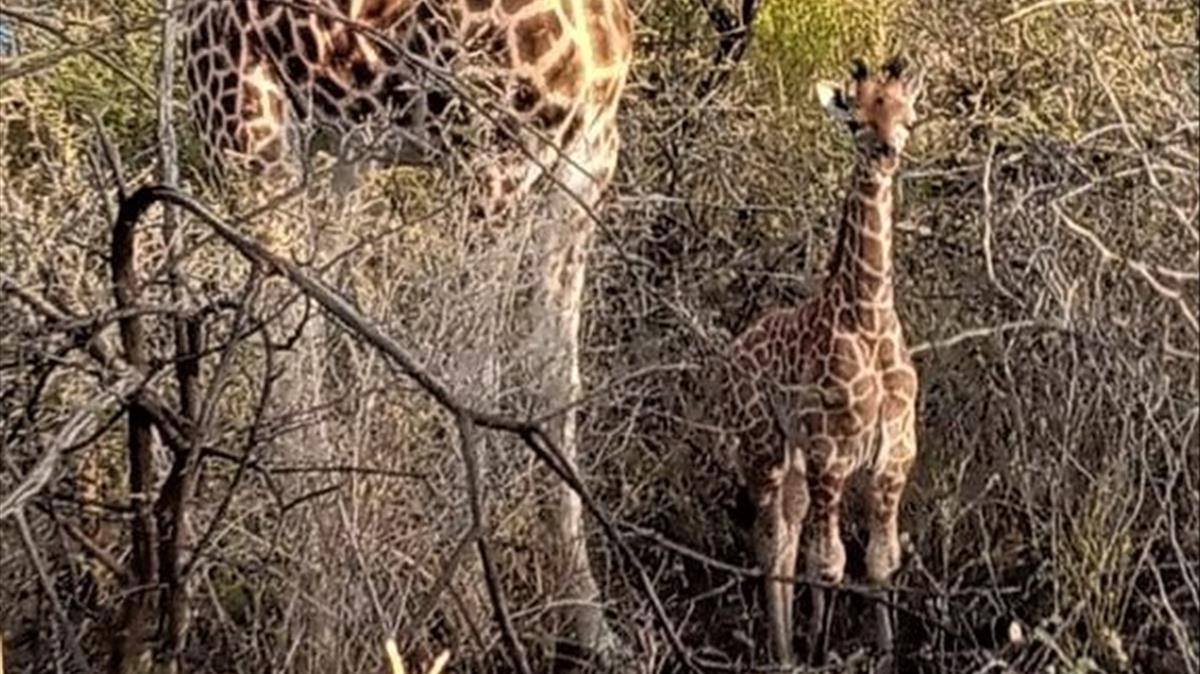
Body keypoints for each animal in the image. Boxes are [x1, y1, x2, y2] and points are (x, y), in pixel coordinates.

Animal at [182, 0, 633, 657]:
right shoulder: (490, 167)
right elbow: (471, 384)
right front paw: (475, 620)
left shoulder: (587, 162)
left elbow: (555, 385)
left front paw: (593, 628)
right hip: (252, 142)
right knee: (292, 368)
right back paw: (316, 623)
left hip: (340, 155)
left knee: (320, 332)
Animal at [715, 56, 921, 662]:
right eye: (855, 122)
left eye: (908, 118)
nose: (886, 153)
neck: (869, 317)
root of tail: (734, 349)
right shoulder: (832, 452)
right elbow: (828, 563)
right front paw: (818, 649)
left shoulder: (894, 456)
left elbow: (879, 561)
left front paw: (885, 654)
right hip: (762, 443)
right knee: (770, 540)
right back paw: (784, 652)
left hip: (795, 460)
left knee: (785, 533)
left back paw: (785, 648)